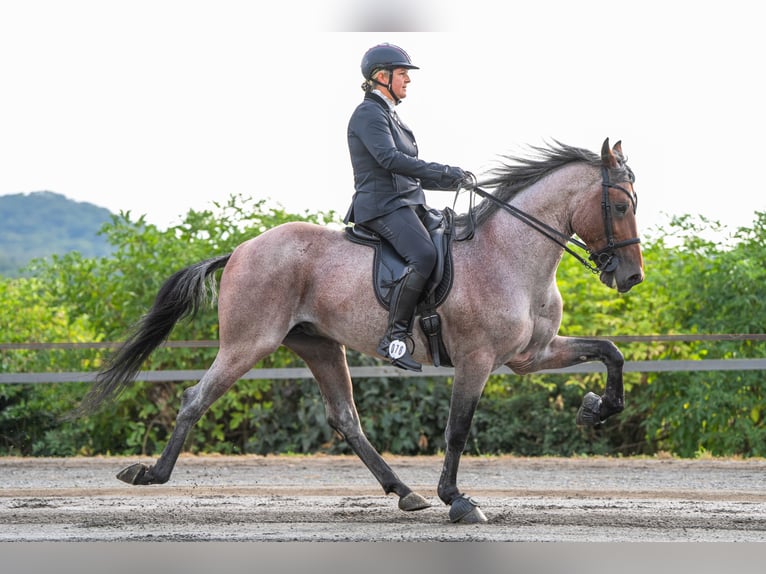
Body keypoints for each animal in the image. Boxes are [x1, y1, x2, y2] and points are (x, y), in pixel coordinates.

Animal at [79, 138, 643, 524]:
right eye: (619, 205)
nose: (630, 277)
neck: (510, 255)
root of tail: (240, 249)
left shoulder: (533, 354)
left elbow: (611, 351)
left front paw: (596, 409)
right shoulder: (478, 361)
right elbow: (457, 429)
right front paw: (458, 501)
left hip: (320, 346)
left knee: (345, 418)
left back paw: (404, 492)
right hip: (247, 343)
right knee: (197, 397)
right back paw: (150, 473)